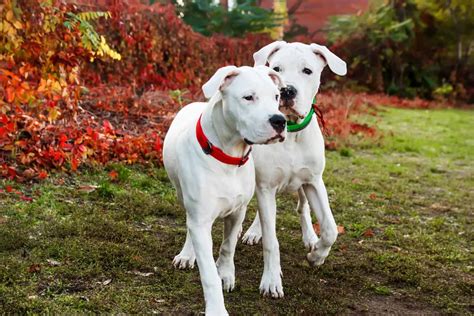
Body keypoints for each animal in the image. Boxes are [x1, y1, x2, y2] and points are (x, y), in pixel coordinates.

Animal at [163, 65, 286, 314]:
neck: (228, 157)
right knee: (189, 225)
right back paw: (187, 254)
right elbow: (208, 273)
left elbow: (228, 246)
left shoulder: (237, 211)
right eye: (248, 97)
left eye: (276, 97)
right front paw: (217, 308)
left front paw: (226, 273)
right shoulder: (200, 219)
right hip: (183, 196)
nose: (280, 120)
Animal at [243, 41, 346, 296]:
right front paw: (271, 280)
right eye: (277, 69)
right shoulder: (266, 186)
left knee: (303, 208)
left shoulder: (314, 182)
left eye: (307, 71)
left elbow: (330, 229)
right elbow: (271, 240)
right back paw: (254, 231)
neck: (290, 131)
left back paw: (310, 236)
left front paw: (316, 255)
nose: (287, 91)